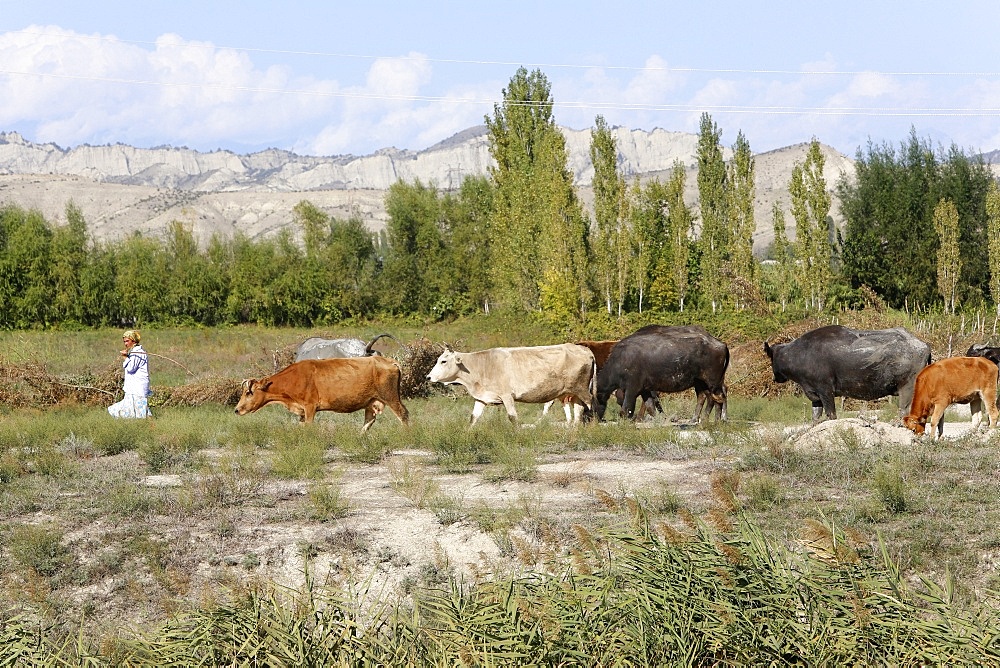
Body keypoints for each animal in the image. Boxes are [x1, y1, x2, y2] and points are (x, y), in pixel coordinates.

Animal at [236, 358, 408, 430]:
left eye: (249, 392)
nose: (237, 409)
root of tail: (388, 360)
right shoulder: (302, 411)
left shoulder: (310, 406)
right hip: (371, 402)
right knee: (369, 420)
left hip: (391, 397)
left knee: (403, 414)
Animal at [592, 324, 728, 422]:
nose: (593, 419)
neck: (620, 361)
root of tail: (721, 344)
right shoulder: (645, 390)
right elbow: (650, 407)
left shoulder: (632, 389)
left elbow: (627, 410)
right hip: (702, 382)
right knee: (708, 397)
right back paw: (701, 419)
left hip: (713, 383)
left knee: (719, 397)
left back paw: (716, 420)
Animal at [760, 324, 932, 422]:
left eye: (771, 359)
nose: (775, 378)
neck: (800, 354)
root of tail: (923, 345)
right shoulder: (815, 396)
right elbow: (815, 418)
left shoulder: (825, 391)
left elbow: (831, 415)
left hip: (907, 387)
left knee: (906, 411)